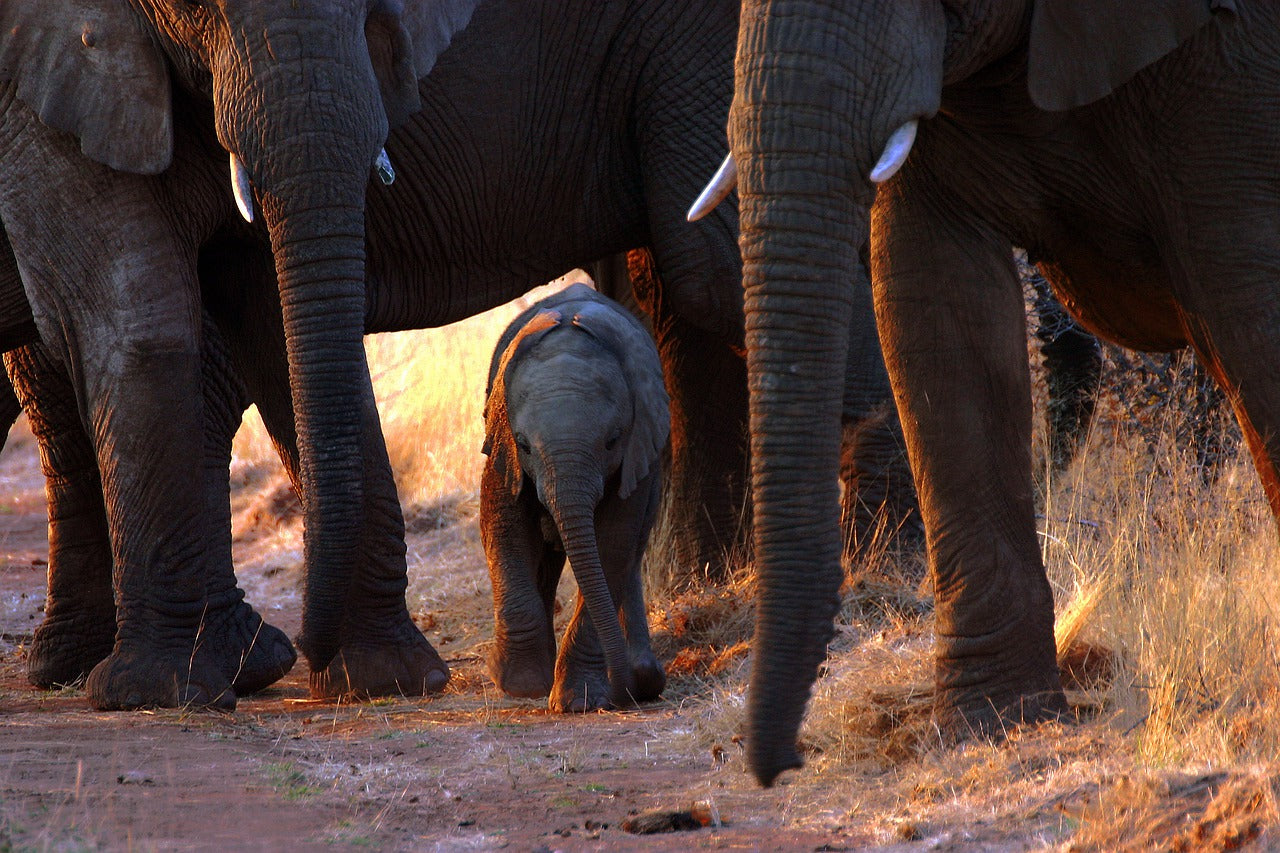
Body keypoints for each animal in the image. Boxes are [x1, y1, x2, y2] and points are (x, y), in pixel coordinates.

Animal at [481, 284, 670, 712]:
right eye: (523, 445)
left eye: (612, 441)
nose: (625, 692)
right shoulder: (500, 442)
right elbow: (503, 523)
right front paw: (522, 684)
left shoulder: (639, 452)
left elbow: (613, 542)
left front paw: (578, 700)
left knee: (629, 555)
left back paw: (641, 674)